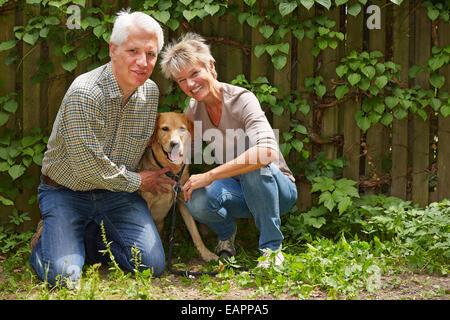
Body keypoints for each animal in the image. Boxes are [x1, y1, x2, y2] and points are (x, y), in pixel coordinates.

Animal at [140, 112, 219, 262]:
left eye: (182, 129)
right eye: (164, 129)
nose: (174, 143)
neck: (172, 171)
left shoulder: (183, 200)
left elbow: (195, 232)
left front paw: (205, 253)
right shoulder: (146, 201)